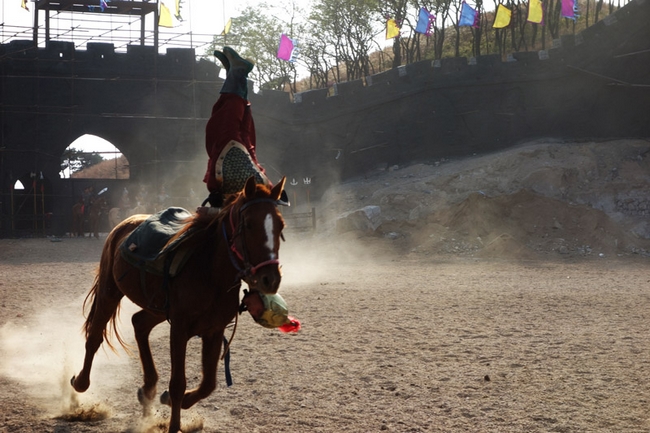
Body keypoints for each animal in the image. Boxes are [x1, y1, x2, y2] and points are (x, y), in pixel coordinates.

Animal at [69, 176, 284, 432]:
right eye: (249, 224)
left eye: (280, 226)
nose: (270, 279)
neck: (210, 272)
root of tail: (126, 223)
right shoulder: (179, 329)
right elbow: (178, 384)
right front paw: (174, 422)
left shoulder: (214, 330)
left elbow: (208, 384)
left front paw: (170, 401)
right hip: (109, 292)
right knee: (95, 335)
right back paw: (81, 383)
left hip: (157, 309)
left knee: (139, 323)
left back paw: (148, 389)